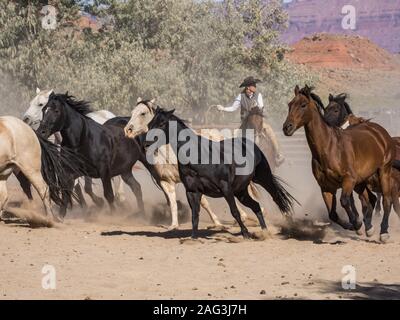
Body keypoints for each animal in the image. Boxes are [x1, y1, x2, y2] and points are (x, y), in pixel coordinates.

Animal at [142, 107, 296, 238]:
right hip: (241, 191)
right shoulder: (192, 191)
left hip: (263, 178)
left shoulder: (225, 188)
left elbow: (234, 211)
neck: (199, 156)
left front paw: (245, 233)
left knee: (276, 196)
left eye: (162, 123)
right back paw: (264, 232)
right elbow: (195, 214)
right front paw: (193, 237)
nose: (146, 144)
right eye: (150, 124)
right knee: (256, 206)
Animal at [282, 85, 398, 242]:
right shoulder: (326, 187)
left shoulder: (348, 180)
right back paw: (369, 228)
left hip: (383, 171)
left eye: (303, 105)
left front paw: (356, 224)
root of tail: (380, 131)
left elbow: (344, 201)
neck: (330, 148)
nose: (287, 127)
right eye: (289, 104)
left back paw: (384, 232)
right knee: (371, 199)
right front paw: (352, 225)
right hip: (362, 181)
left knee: (386, 200)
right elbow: (333, 214)